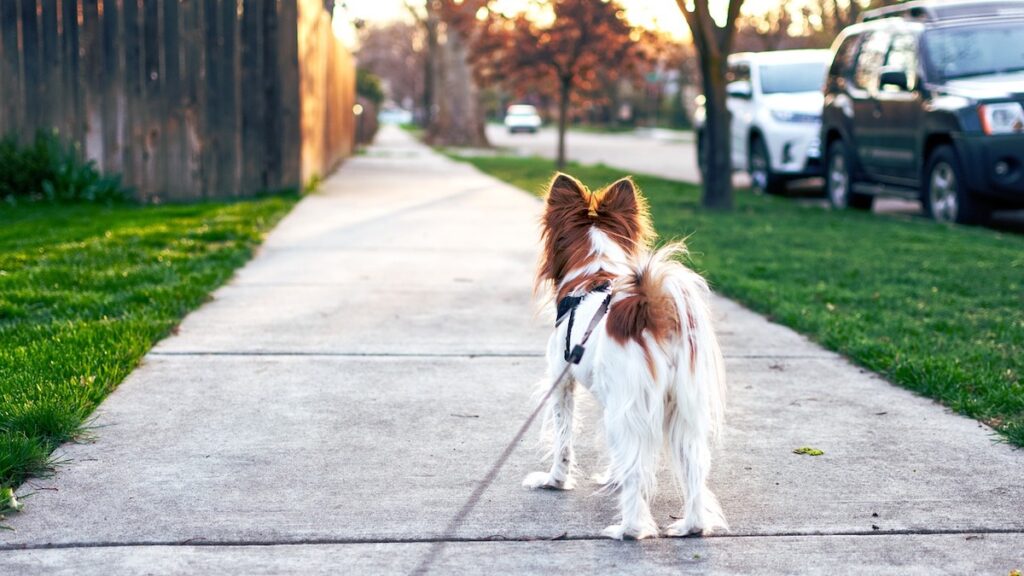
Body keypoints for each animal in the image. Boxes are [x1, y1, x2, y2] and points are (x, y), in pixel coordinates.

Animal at [524, 170, 733, 537]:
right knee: (694, 468)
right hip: (681, 409)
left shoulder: (562, 384)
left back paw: (628, 530)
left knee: (637, 472)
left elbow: (563, 440)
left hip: (632, 405)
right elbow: (614, 454)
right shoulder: (613, 398)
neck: (595, 272)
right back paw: (690, 526)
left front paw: (555, 481)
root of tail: (653, 310)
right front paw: (612, 477)